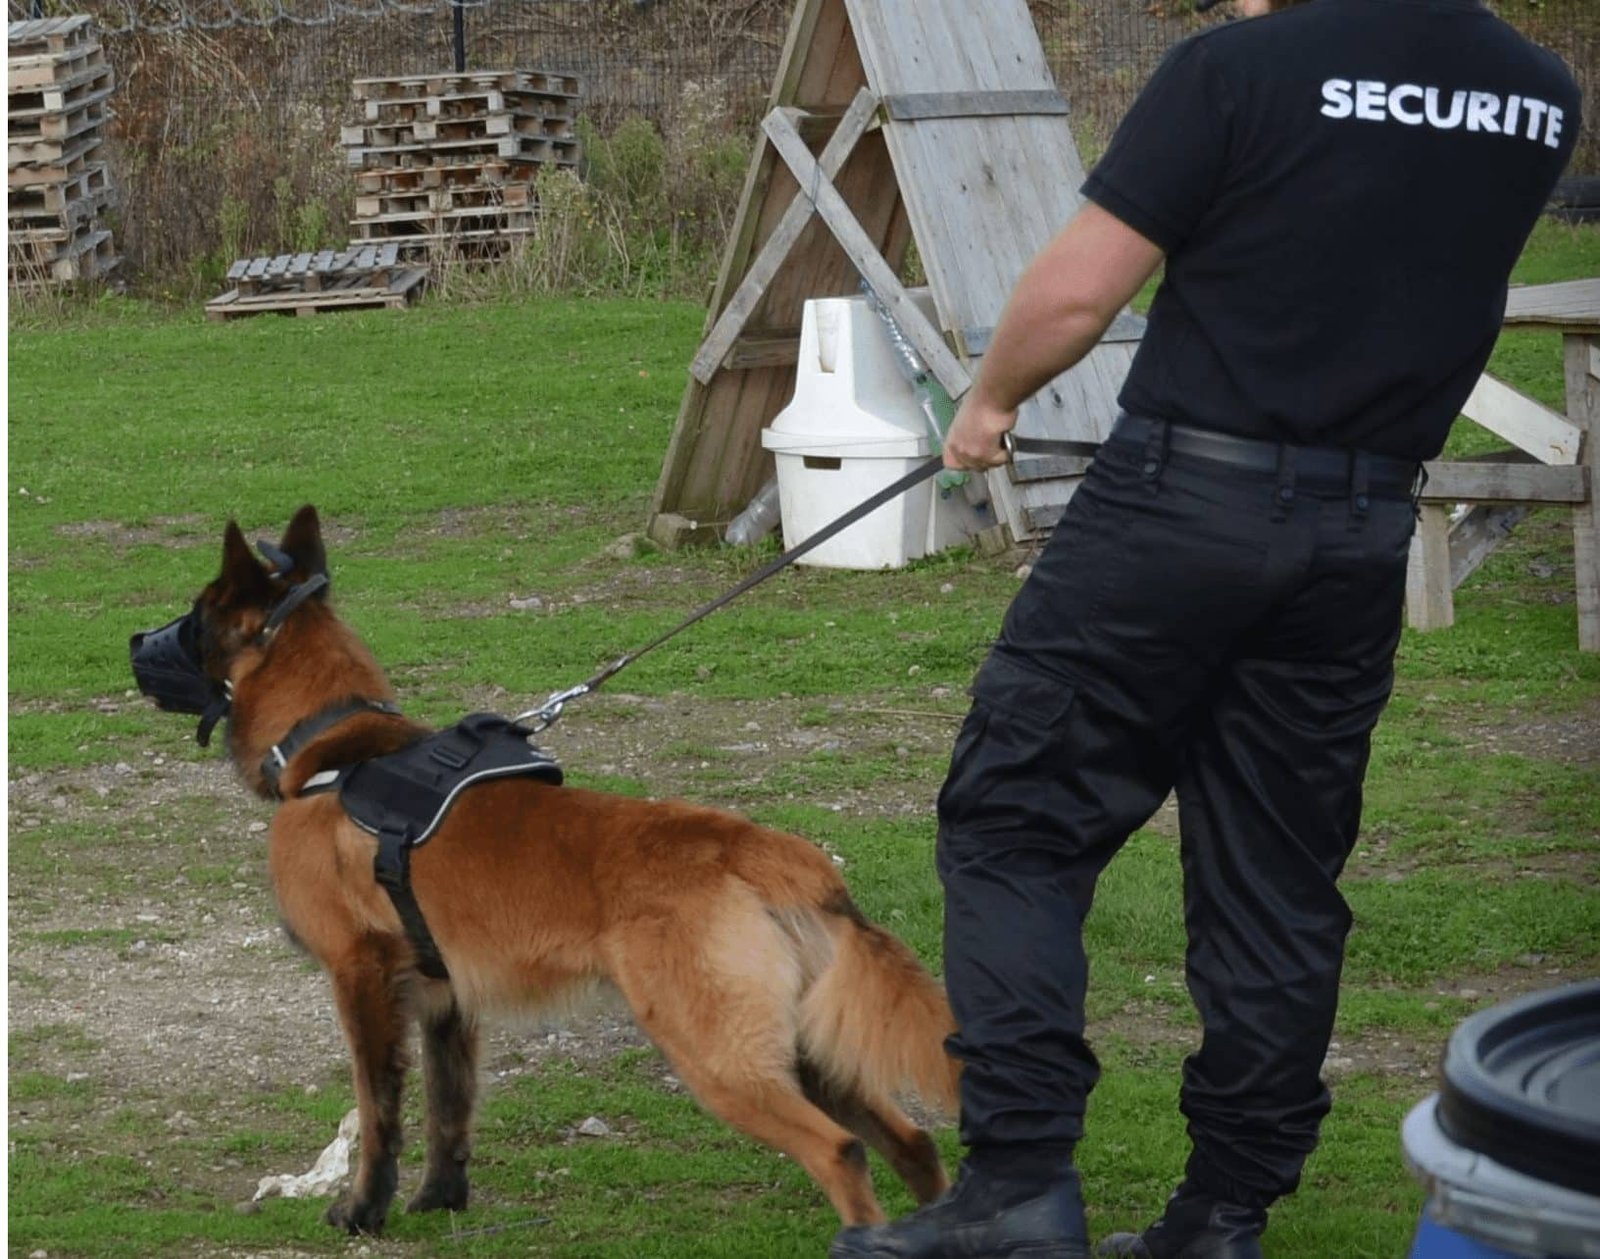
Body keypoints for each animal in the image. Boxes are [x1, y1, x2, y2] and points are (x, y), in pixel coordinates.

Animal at [150, 508, 953, 1235]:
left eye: (194, 617)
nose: (133, 641)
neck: (336, 747)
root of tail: (755, 848)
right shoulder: (447, 1001)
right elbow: (448, 1110)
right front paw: (440, 1200)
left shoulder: (360, 977)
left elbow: (379, 1112)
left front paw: (362, 1211)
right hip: (806, 1049)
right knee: (913, 1141)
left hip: (721, 1058)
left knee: (841, 1152)